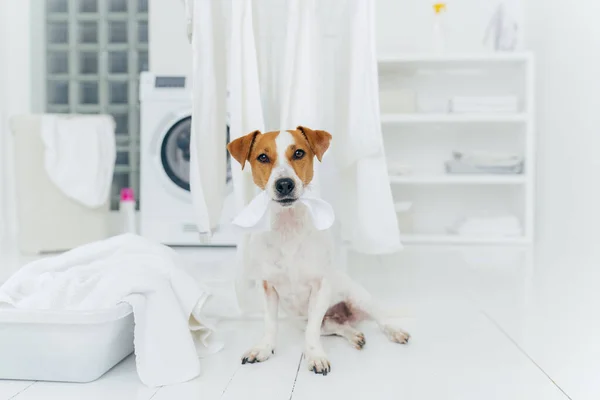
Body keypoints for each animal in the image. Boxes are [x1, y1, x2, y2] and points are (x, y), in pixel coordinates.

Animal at [227, 126, 410, 376]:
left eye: (299, 153)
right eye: (262, 157)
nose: (284, 184)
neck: (288, 227)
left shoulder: (320, 287)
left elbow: (311, 332)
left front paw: (315, 356)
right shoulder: (268, 287)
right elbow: (270, 324)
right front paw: (264, 348)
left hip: (359, 297)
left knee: (380, 318)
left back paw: (394, 330)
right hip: (309, 320)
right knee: (337, 326)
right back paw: (355, 335)